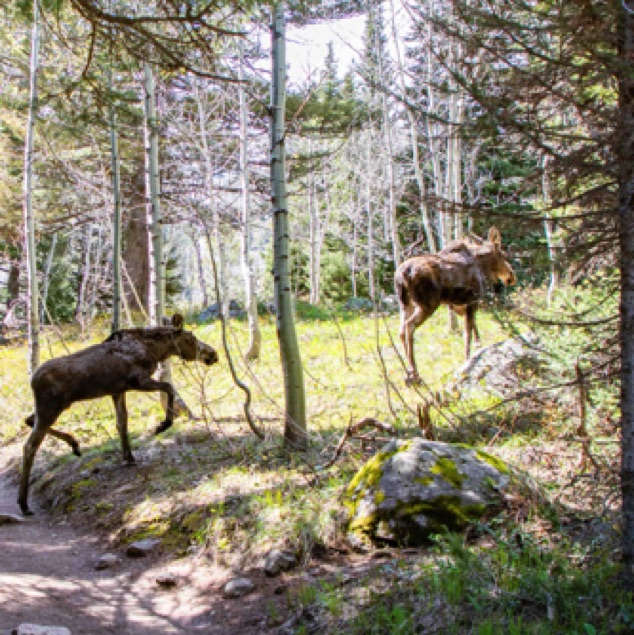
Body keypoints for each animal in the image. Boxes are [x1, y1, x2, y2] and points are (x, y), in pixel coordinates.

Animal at [17, 314, 217, 516]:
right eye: (190, 338)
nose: (213, 354)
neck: (156, 350)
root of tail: (32, 381)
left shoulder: (118, 390)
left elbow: (122, 422)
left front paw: (128, 457)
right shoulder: (137, 380)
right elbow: (169, 387)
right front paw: (163, 425)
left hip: (54, 407)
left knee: (28, 420)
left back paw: (74, 443)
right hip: (51, 407)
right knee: (29, 446)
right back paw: (23, 503)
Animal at [392, 231, 516, 386]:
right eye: (503, 255)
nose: (511, 276)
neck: (483, 267)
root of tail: (403, 274)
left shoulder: (458, 305)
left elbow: (471, 328)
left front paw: (478, 347)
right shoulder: (472, 300)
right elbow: (467, 333)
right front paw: (468, 361)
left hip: (406, 303)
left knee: (401, 330)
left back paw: (409, 373)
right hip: (428, 304)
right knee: (409, 326)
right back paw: (415, 374)